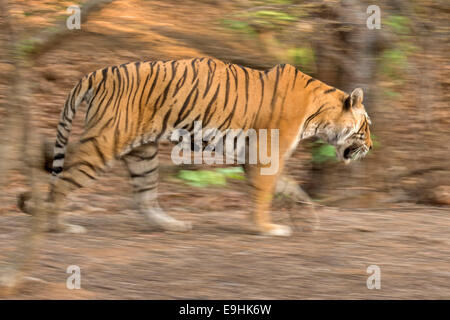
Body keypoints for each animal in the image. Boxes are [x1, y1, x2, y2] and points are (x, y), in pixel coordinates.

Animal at [22, 58, 372, 238]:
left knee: (144, 197)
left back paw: (173, 225)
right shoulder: (264, 156)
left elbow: (290, 186)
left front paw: (308, 218)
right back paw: (59, 224)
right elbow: (265, 194)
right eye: (366, 125)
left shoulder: (255, 157)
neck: (319, 116)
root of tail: (100, 72)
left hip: (143, 153)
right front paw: (266, 228)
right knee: (63, 182)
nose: (369, 147)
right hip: (104, 143)